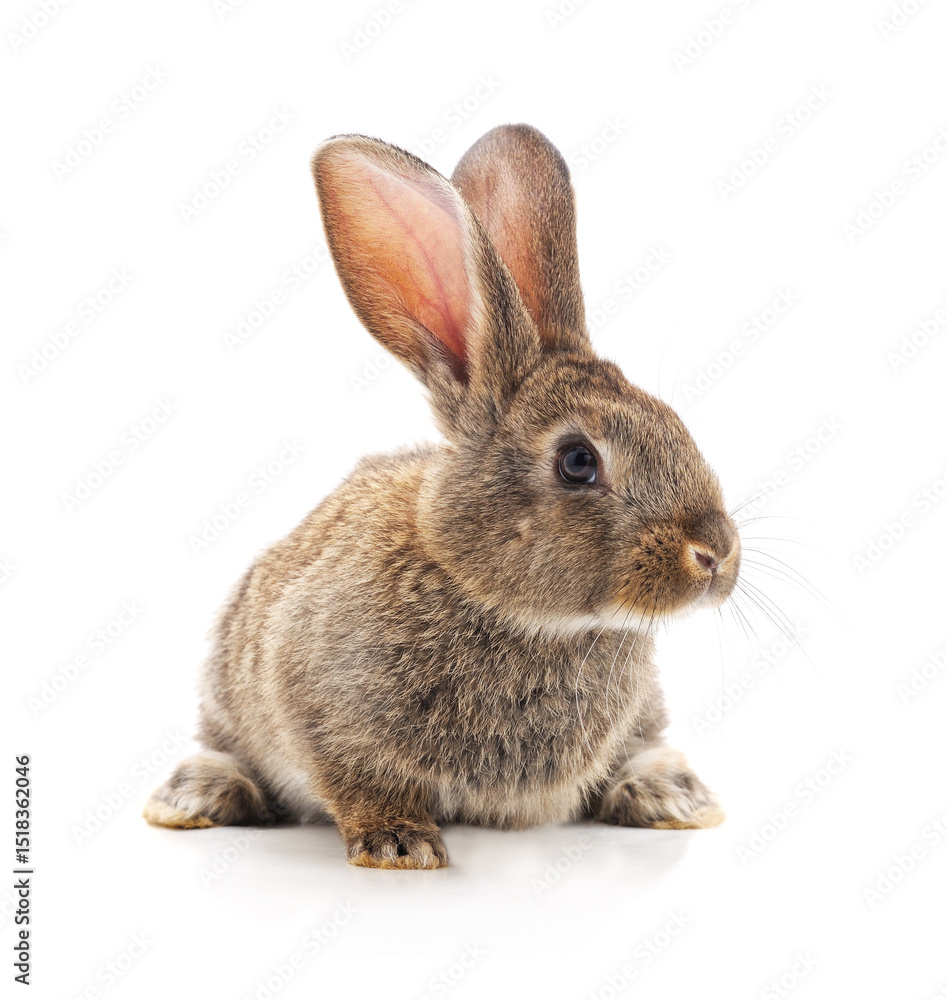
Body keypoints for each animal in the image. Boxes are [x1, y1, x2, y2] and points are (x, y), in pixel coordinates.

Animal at [144, 124, 741, 869]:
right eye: (578, 462)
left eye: (674, 420)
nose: (716, 556)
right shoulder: (317, 709)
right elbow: (357, 779)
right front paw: (400, 845)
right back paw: (197, 796)